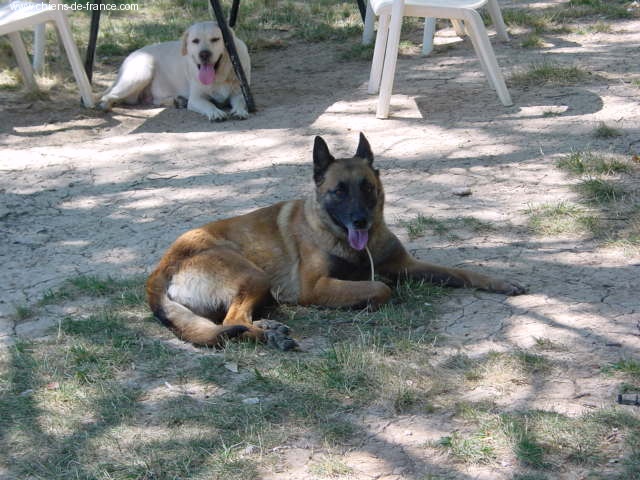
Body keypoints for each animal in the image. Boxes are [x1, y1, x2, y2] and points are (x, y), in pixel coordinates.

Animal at [97, 21, 250, 121]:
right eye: (195, 41)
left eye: (215, 39)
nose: (204, 54)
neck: (219, 75)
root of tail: (132, 54)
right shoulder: (196, 99)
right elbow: (209, 104)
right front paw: (215, 113)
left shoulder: (239, 92)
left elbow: (241, 101)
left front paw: (240, 111)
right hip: (140, 74)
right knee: (108, 96)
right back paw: (105, 106)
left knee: (152, 100)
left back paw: (177, 101)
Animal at [146, 133, 524, 350]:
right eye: (339, 192)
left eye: (367, 188)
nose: (361, 221)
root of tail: (159, 271)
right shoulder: (316, 287)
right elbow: (380, 288)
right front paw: (367, 300)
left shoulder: (407, 264)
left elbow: (461, 272)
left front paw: (499, 281)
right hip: (253, 275)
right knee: (230, 322)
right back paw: (270, 336)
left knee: (235, 320)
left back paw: (269, 326)